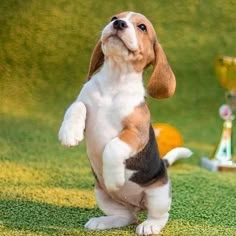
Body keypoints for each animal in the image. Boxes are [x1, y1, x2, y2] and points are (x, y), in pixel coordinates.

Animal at [58, 11, 192, 236]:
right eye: (114, 17)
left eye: (142, 27)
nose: (119, 24)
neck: (115, 80)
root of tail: (136, 205)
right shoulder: (85, 100)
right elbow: (76, 106)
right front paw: (69, 133)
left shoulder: (136, 132)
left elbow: (113, 146)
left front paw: (114, 178)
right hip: (101, 194)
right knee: (126, 217)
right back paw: (103, 221)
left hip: (159, 193)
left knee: (159, 216)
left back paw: (149, 225)